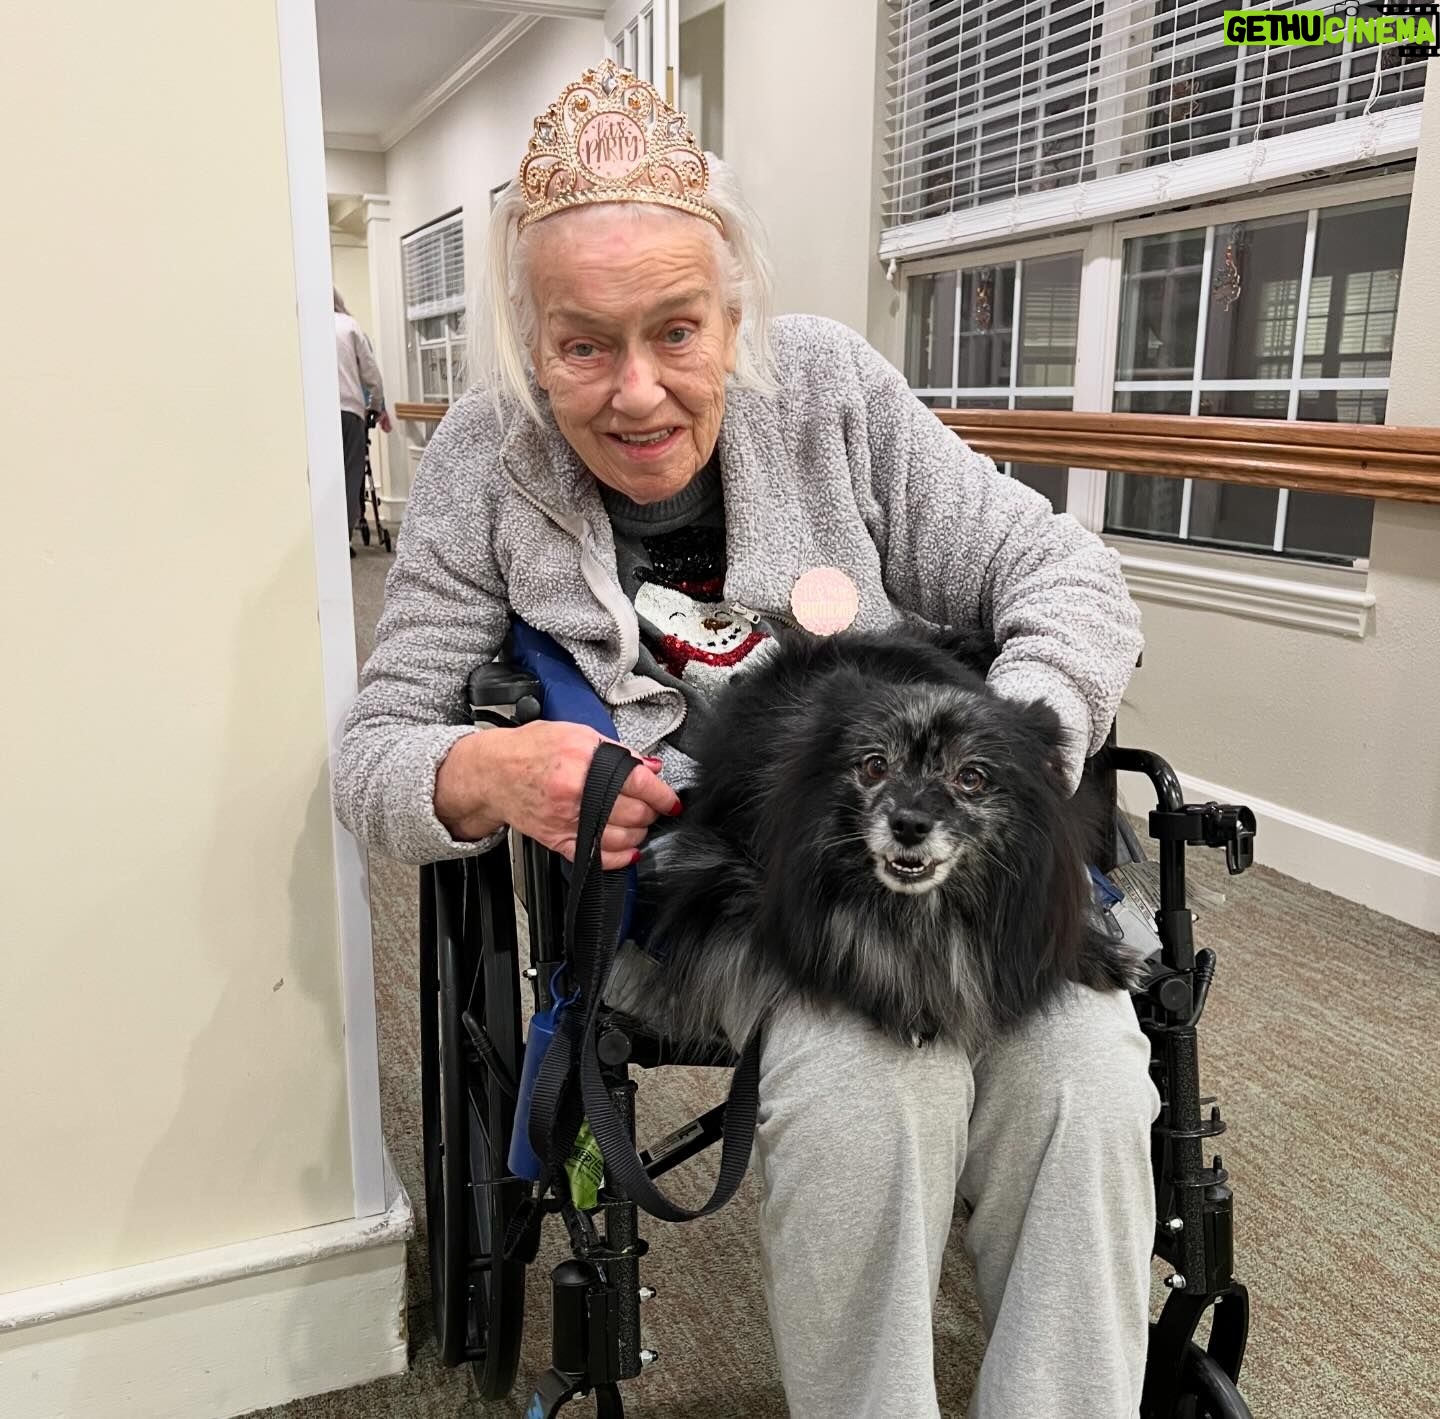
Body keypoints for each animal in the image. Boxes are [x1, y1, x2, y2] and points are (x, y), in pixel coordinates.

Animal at [621, 625, 1141, 1052]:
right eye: (875, 766)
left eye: (971, 778)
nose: (909, 824)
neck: (922, 911)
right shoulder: (736, 889)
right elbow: (854, 948)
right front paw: (905, 999)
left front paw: (1097, 952)